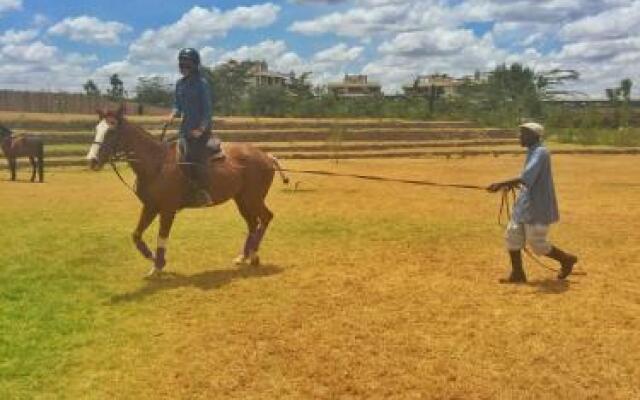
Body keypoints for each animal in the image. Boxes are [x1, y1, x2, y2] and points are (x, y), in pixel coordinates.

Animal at [85, 106, 288, 278]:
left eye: (111, 131)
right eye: (96, 129)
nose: (92, 161)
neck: (156, 163)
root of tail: (266, 156)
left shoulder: (167, 210)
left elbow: (162, 236)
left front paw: (158, 265)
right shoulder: (150, 207)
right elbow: (136, 235)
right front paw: (153, 259)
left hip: (253, 198)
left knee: (266, 217)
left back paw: (253, 255)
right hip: (241, 199)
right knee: (253, 224)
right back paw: (244, 256)